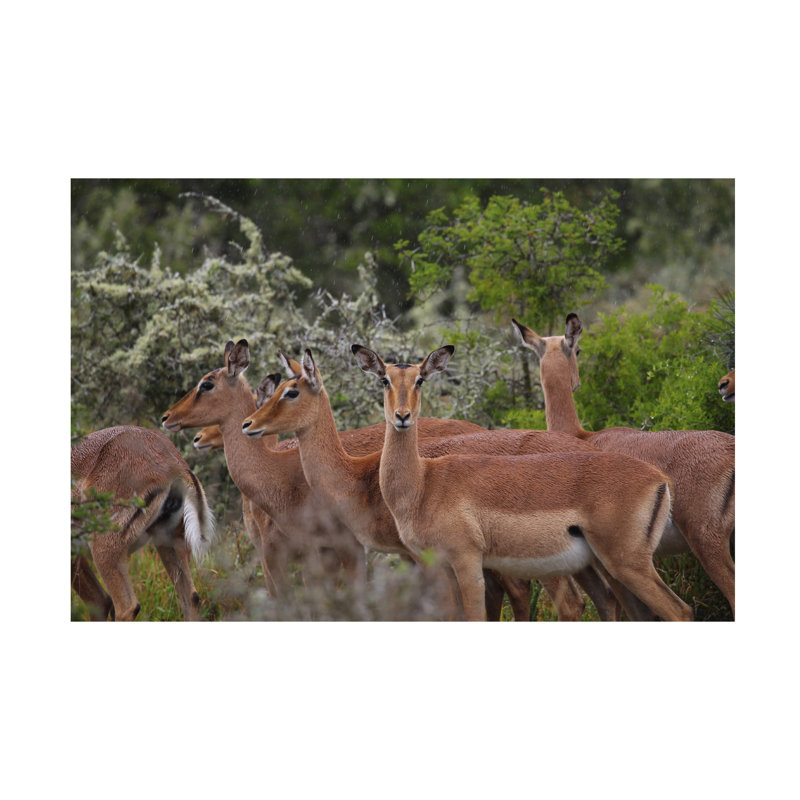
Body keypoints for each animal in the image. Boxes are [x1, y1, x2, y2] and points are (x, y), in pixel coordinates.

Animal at [71, 426, 215, 621]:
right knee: (191, 597)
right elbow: (98, 600)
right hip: (169, 541)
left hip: (105, 549)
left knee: (127, 607)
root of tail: (173, 464)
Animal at [352, 344, 693, 621]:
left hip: (626, 564)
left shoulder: (468, 562)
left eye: (420, 380)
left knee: (681, 611)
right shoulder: (440, 566)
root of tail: (660, 479)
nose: (403, 416)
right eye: (384, 379)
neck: (424, 483)